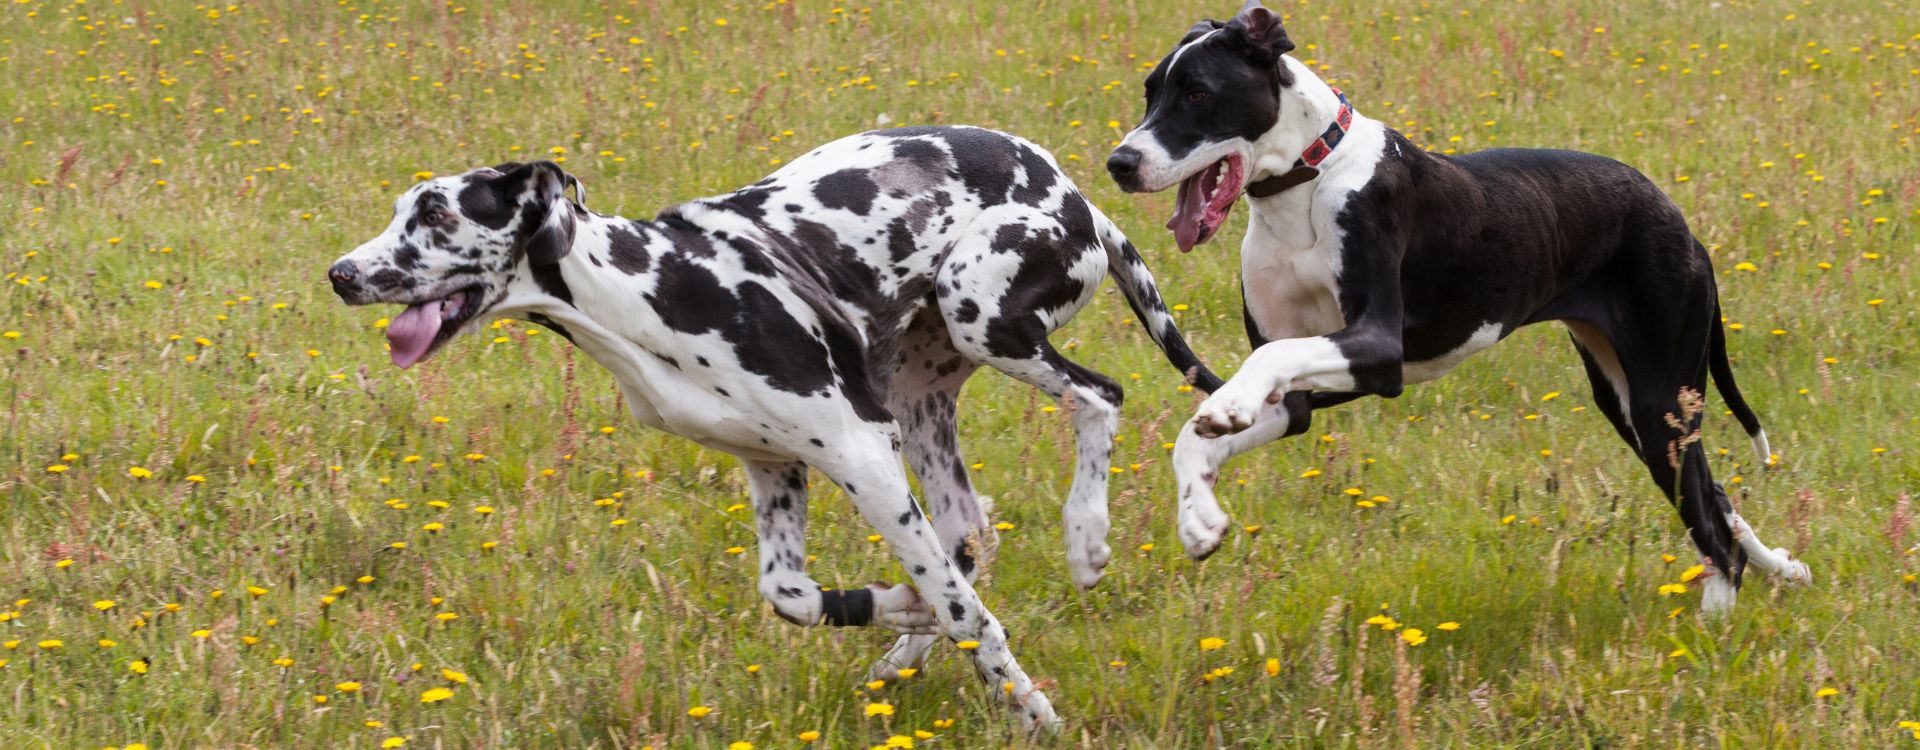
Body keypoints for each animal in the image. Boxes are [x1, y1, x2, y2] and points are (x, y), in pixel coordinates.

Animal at [328, 126, 1213, 732]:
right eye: (404, 208)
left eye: (436, 213)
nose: (339, 274)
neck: (644, 290)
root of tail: (1075, 190)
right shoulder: (775, 465)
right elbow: (796, 596)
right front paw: (904, 609)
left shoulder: (864, 454)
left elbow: (969, 615)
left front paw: (1030, 707)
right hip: (922, 393)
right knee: (967, 531)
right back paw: (904, 654)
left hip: (979, 316)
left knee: (1098, 398)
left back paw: (1086, 537)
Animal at [1113, 0, 1812, 613]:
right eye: (1150, 92)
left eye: (1197, 94)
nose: (1120, 162)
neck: (1309, 181)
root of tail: (1680, 221)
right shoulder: (1302, 397)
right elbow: (1197, 431)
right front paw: (1199, 520)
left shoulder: (1377, 348)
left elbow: (1263, 367)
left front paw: (1226, 405)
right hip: (1634, 406)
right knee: (1714, 496)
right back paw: (1779, 568)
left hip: (1661, 400)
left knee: (1713, 528)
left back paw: (1712, 631)